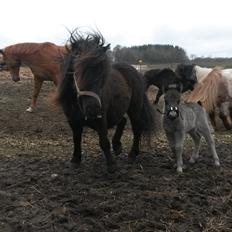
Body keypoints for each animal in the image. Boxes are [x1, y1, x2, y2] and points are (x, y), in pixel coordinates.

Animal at [54, 30, 156, 172]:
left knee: (137, 128)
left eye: (102, 74)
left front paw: (111, 164)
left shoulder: (101, 119)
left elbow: (103, 141)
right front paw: (75, 160)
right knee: (122, 120)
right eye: (77, 72)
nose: (93, 108)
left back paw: (132, 154)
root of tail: (134, 71)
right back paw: (117, 146)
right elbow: (76, 139)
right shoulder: (73, 121)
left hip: (135, 108)